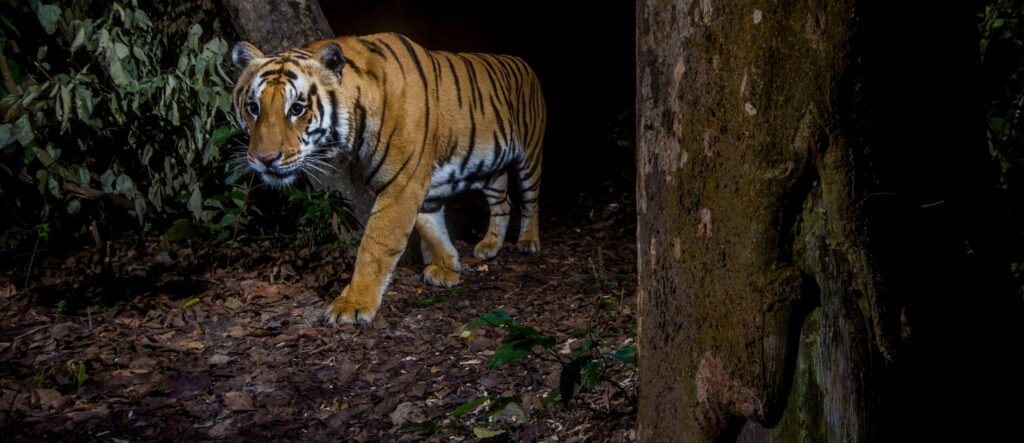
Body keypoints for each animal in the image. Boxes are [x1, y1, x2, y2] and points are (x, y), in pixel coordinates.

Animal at [230, 33, 546, 324]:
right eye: (253, 108)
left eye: (296, 108)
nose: (264, 159)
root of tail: (523, 63)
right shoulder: (419, 185)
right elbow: (431, 227)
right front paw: (447, 266)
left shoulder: (402, 183)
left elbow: (376, 245)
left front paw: (353, 304)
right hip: (491, 168)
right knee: (503, 203)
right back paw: (489, 246)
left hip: (530, 153)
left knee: (531, 199)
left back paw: (528, 241)